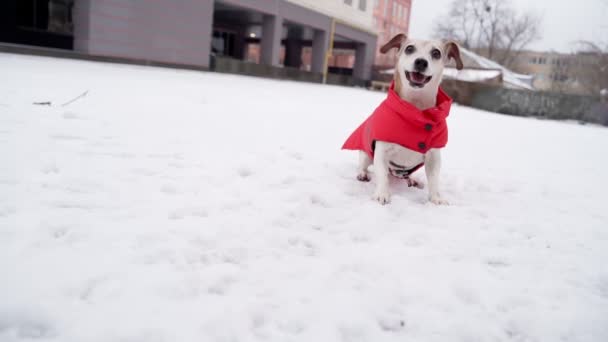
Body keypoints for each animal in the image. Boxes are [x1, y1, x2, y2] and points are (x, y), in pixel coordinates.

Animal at [340, 34, 464, 206]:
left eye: (436, 53)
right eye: (409, 49)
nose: (421, 62)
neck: (415, 112)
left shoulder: (433, 156)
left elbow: (434, 180)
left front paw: (436, 198)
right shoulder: (381, 151)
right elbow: (382, 176)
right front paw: (382, 193)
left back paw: (411, 180)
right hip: (366, 154)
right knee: (363, 166)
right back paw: (363, 174)